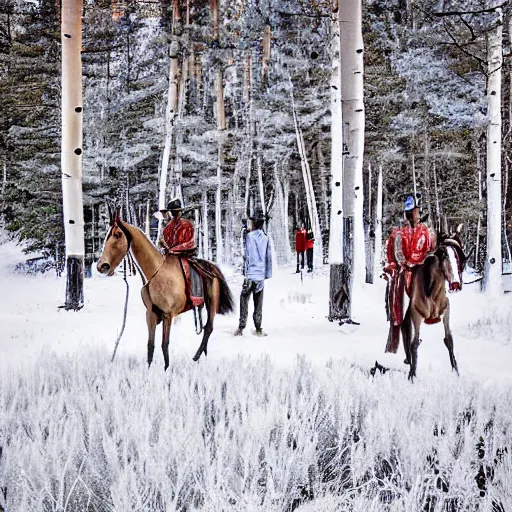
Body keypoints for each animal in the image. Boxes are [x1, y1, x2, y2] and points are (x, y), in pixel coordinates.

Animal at [96, 216, 234, 368]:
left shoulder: (167, 315)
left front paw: (166, 369)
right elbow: (150, 345)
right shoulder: (150, 314)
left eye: (117, 234)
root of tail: (212, 267)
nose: (102, 266)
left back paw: (196, 357)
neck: (156, 272)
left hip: (212, 304)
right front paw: (149, 369)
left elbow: (164, 344)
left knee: (208, 328)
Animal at [398, 227, 466, 380]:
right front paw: (412, 375)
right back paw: (409, 360)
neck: (432, 291)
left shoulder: (446, 311)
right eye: (443, 254)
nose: (455, 284)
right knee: (405, 330)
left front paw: (456, 372)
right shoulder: (416, 314)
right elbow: (414, 343)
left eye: (459, 256)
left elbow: (449, 340)